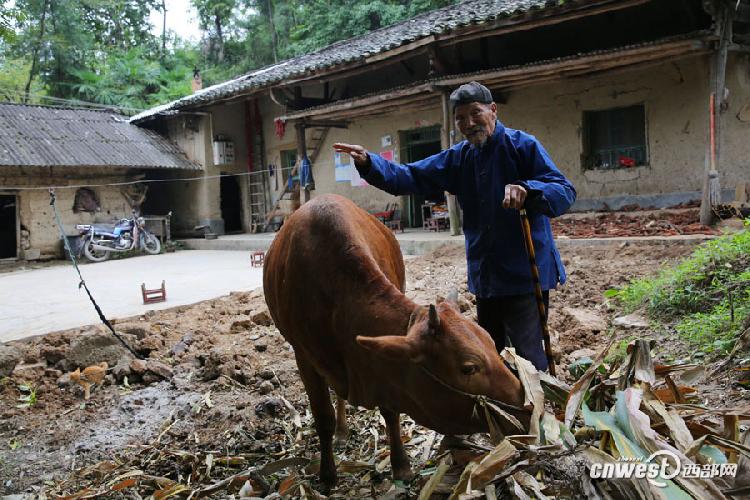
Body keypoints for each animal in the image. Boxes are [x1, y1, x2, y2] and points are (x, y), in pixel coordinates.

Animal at [264, 194, 528, 488]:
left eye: (493, 345)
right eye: (468, 368)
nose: (527, 407)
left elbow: (390, 411)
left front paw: (400, 465)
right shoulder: (304, 357)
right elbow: (323, 418)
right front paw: (328, 475)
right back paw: (341, 433)